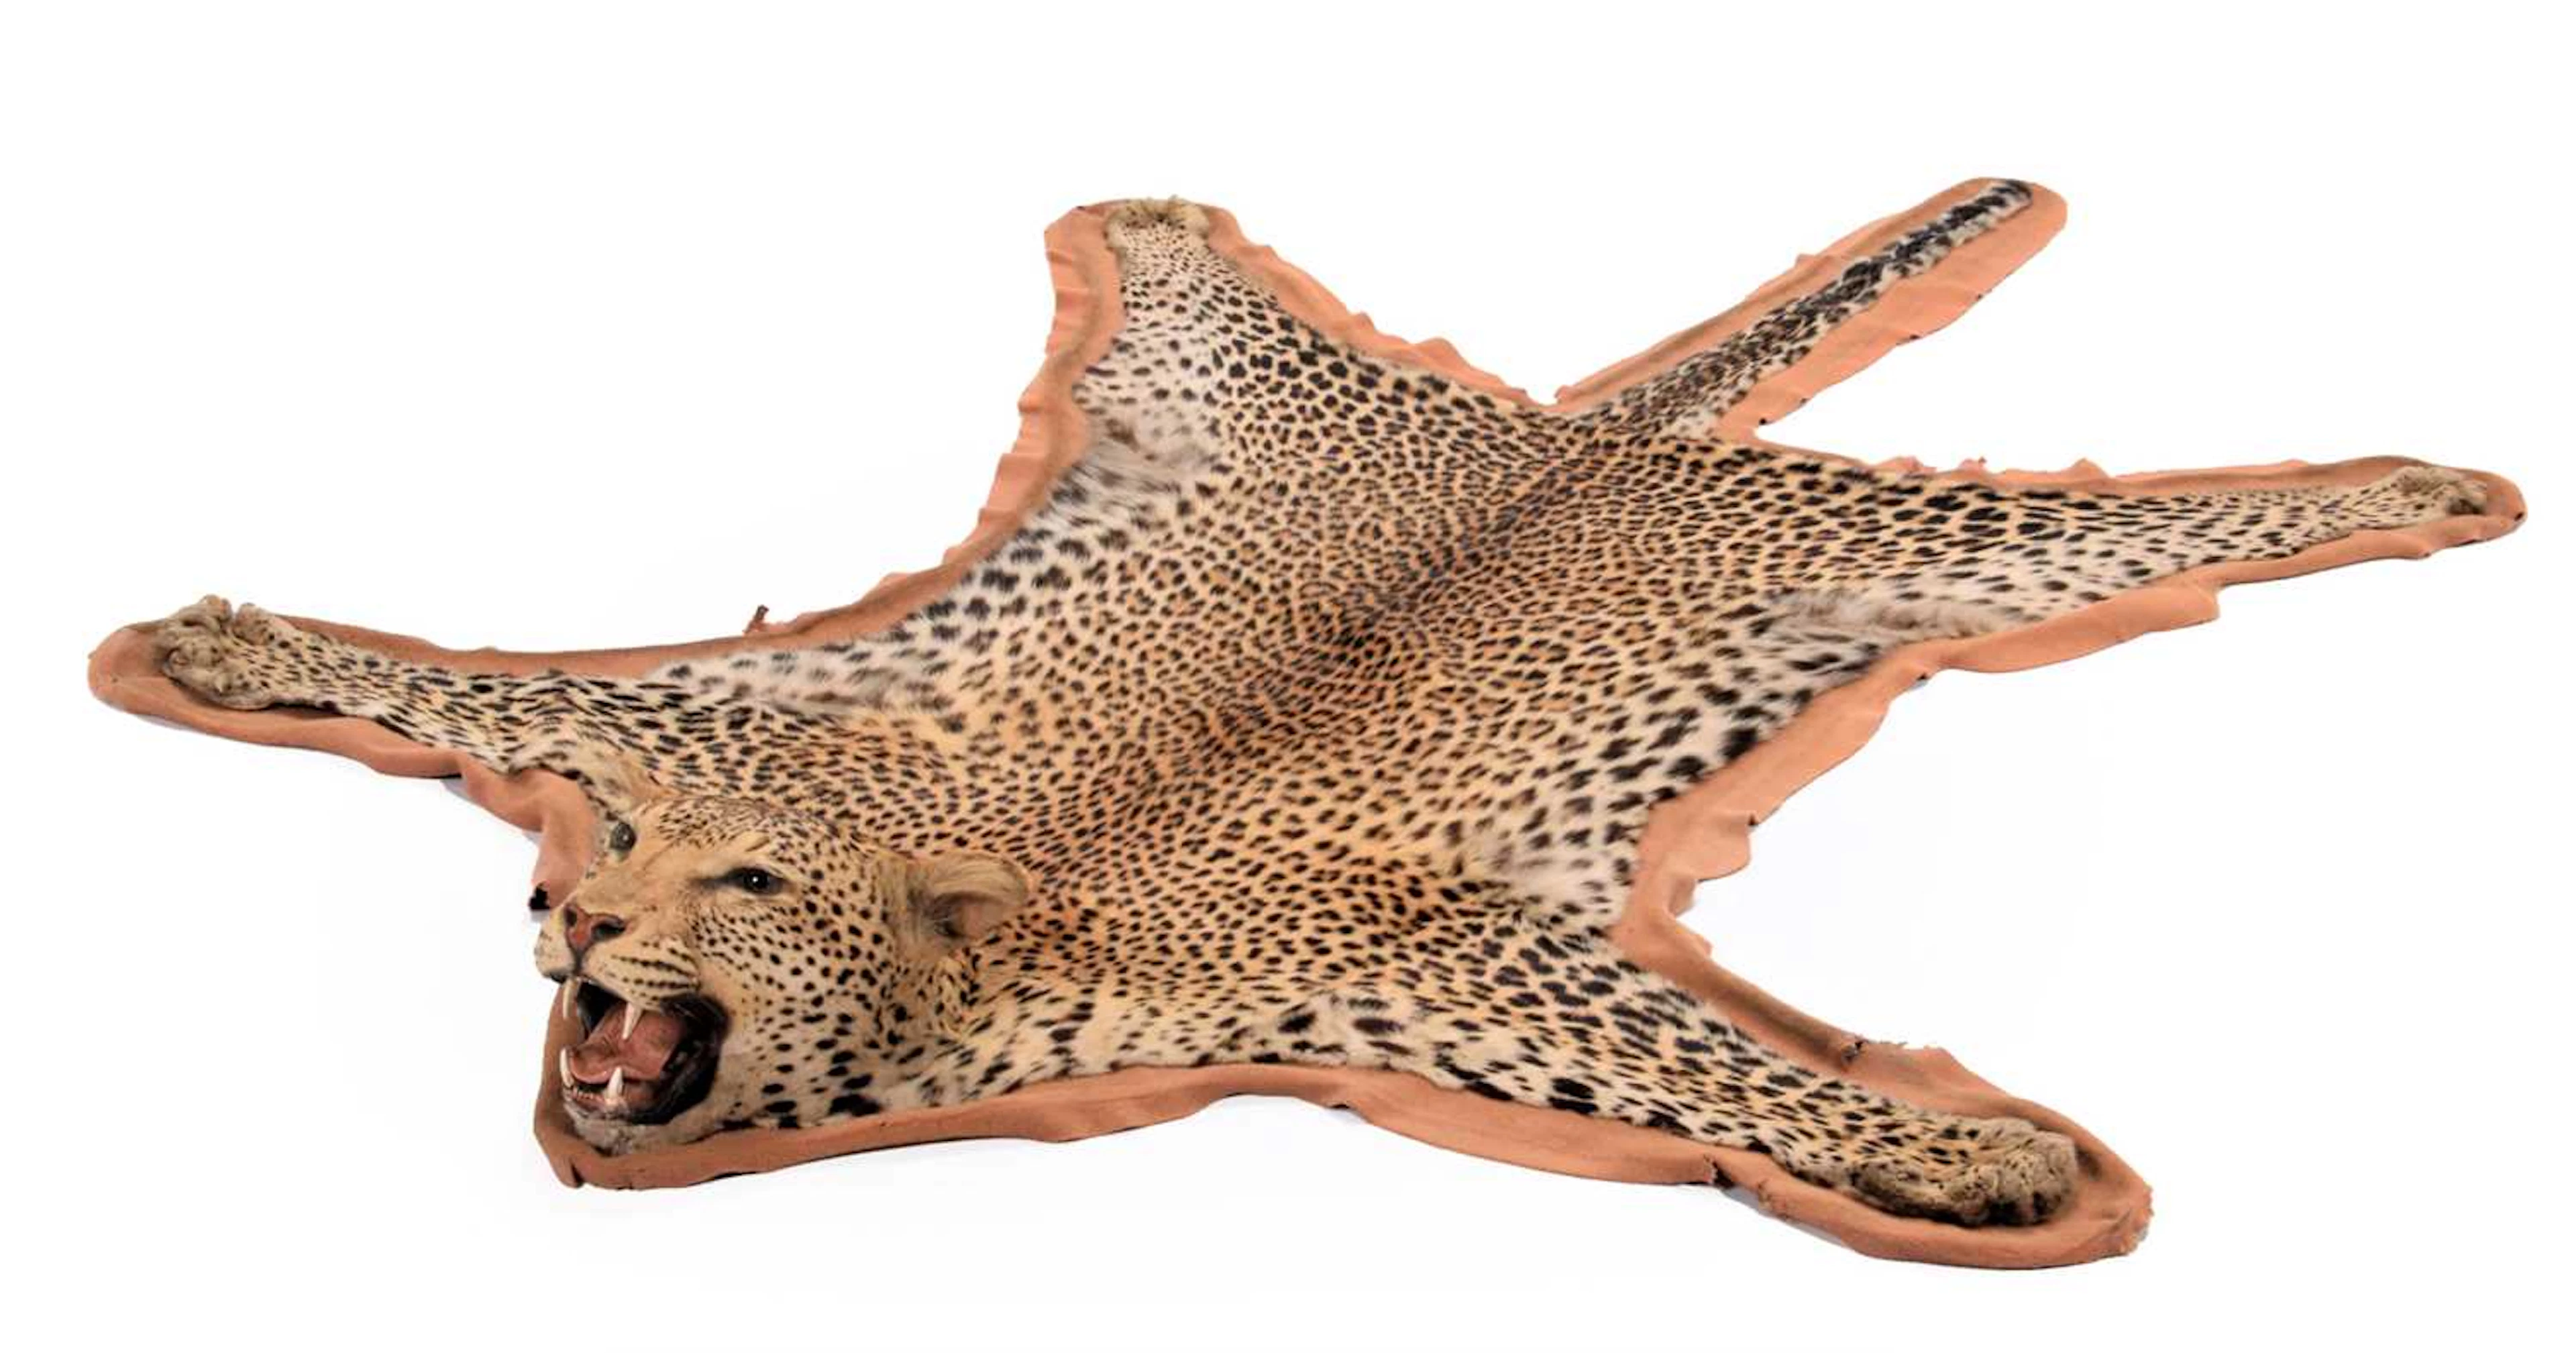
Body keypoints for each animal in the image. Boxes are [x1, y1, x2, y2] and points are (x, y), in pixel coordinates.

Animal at [139, 180, 2498, 1228]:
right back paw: (1162, 221)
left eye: (738, 891)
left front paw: (1961, 1141)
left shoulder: (1439, 967)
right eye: (615, 856)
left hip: (1915, 549)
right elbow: (472, 681)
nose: (567, 922)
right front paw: (233, 647)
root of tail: (1563, 439)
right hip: (1226, 388)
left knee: (2164, 520)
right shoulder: (692, 716)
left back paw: (2420, 487)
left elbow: (1726, 1076)